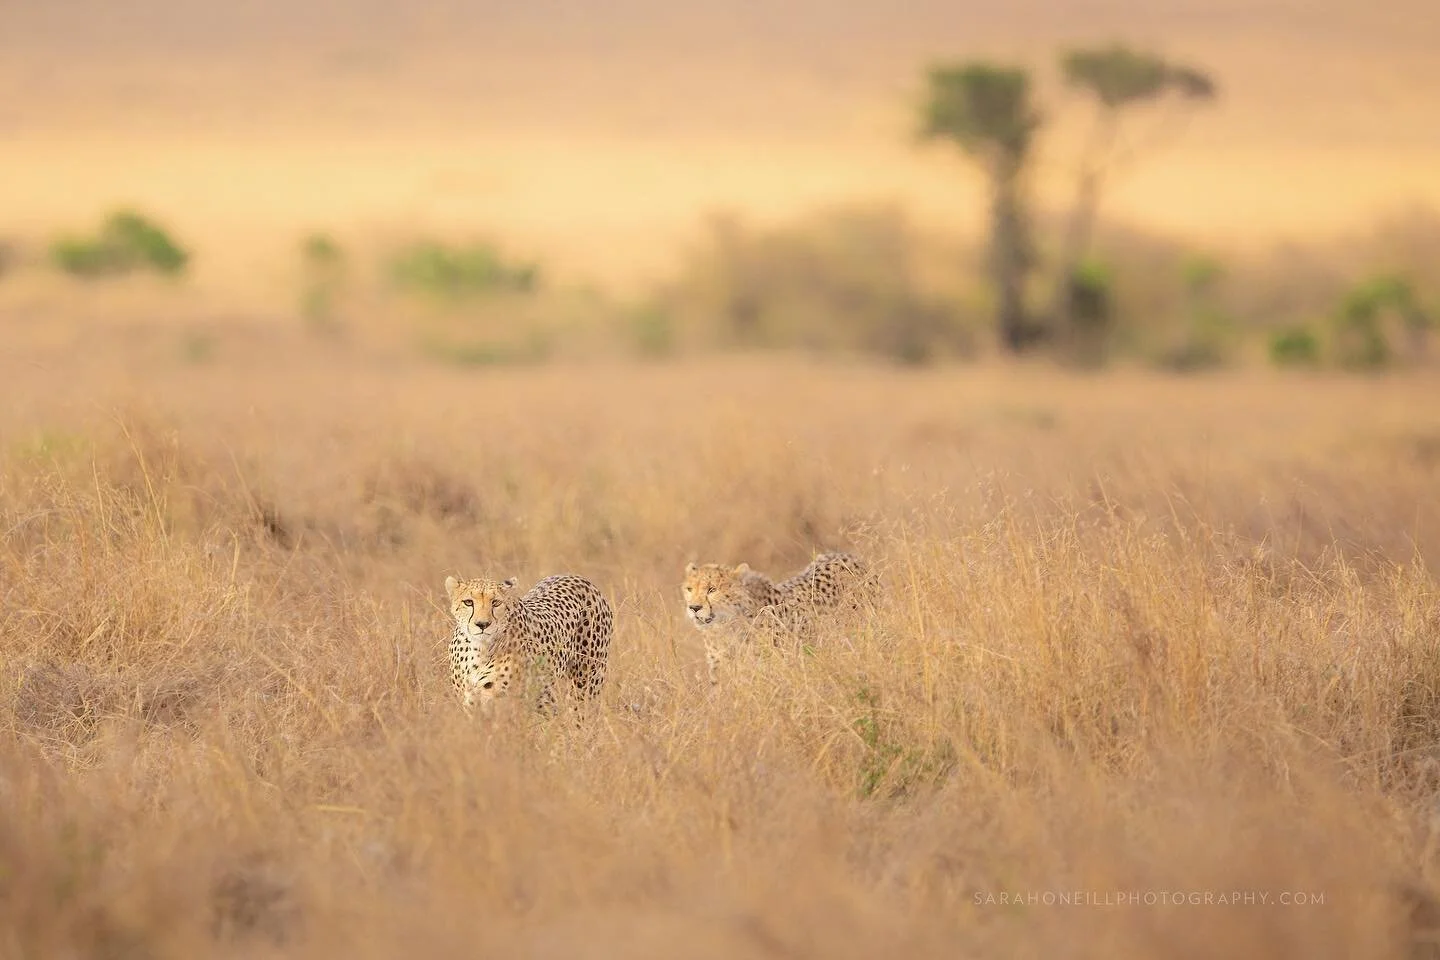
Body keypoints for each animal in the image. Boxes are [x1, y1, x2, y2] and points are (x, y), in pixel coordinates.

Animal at [445, 573, 613, 715]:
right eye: (468, 602)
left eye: (496, 603)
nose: (482, 624)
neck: (479, 649)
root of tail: (576, 577)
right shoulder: (471, 704)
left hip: (586, 684)